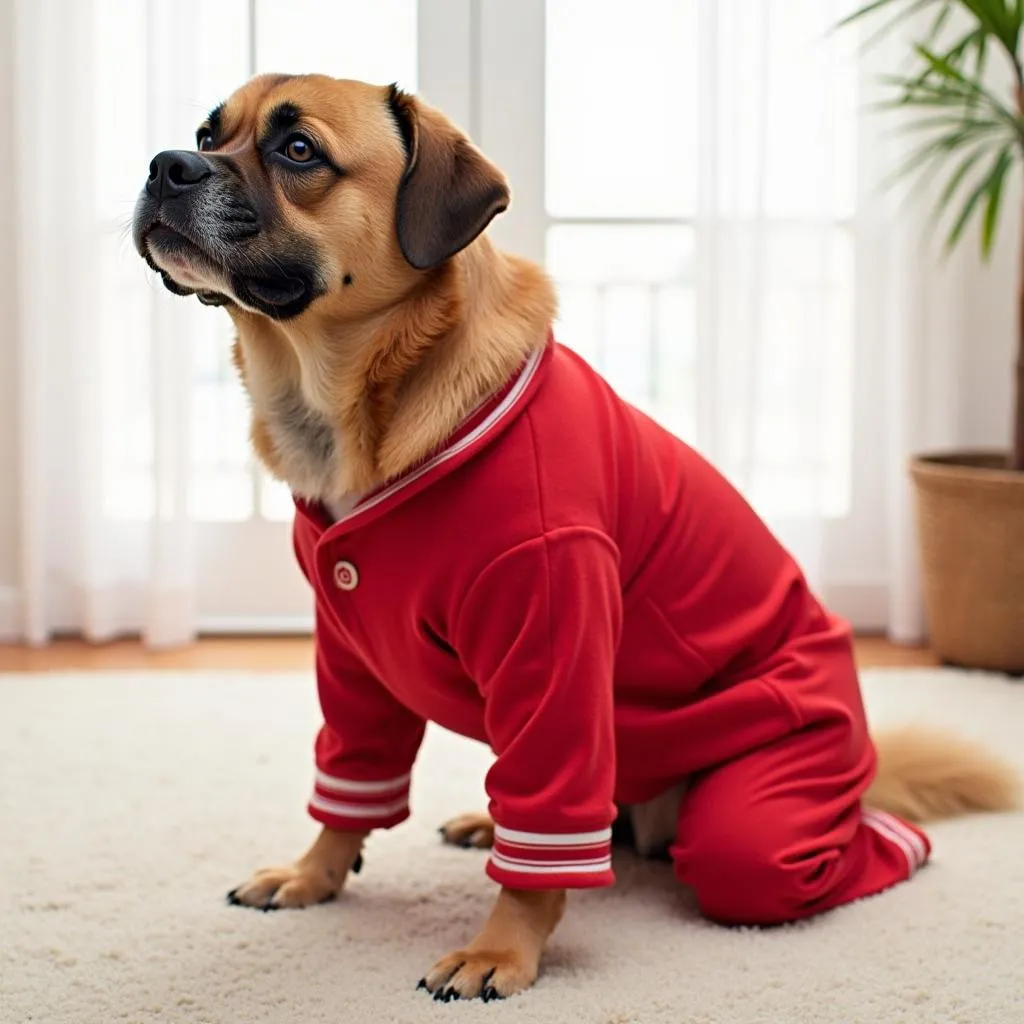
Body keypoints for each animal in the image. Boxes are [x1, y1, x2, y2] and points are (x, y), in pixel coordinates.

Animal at [132, 75, 1019, 1003]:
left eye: (298, 149)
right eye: (208, 133)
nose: (166, 164)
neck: (363, 392)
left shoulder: (551, 638)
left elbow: (541, 847)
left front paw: (501, 949)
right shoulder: (352, 660)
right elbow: (352, 775)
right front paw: (314, 874)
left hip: (764, 821)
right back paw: (487, 821)